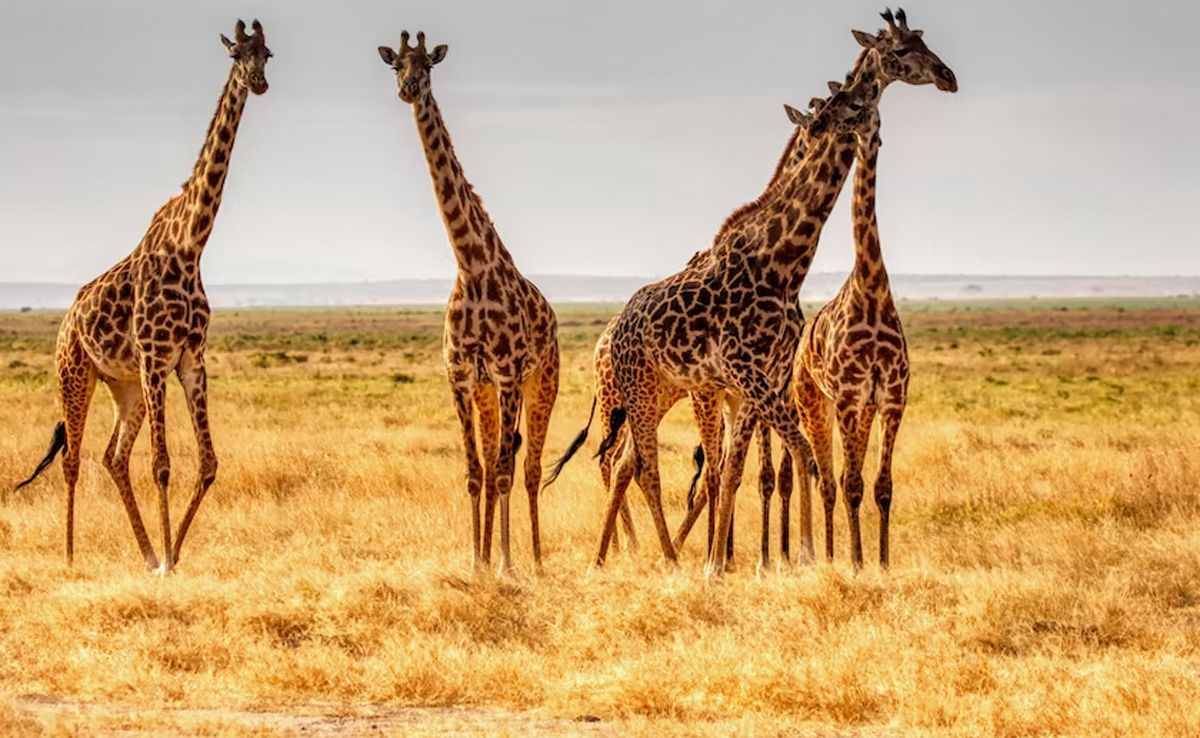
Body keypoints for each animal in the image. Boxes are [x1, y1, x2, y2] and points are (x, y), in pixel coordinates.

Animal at [15, 20, 272, 573]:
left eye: (267, 54)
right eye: (237, 55)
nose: (259, 83)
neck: (191, 245)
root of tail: (66, 320)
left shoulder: (189, 359)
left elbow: (208, 463)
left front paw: (169, 556)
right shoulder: (156, 357)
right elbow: (162, 464)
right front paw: (170, 564)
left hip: (125, 386)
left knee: (112, 456)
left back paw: (146, 551)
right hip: (76, 373)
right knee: (73, 458)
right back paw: (70, 558)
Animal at [378, 31, 560, 574]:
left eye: (428, 66)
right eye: (395, 64)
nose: (408, 89)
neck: (472, 266)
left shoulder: (507, 374)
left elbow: (502, 470)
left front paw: (505, 565)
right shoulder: (461, 376)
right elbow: (474, 470)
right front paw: (476, 562)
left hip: (542, 382)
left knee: (529, 467)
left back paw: (536, 561)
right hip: (487, 392)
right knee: (500, 459)